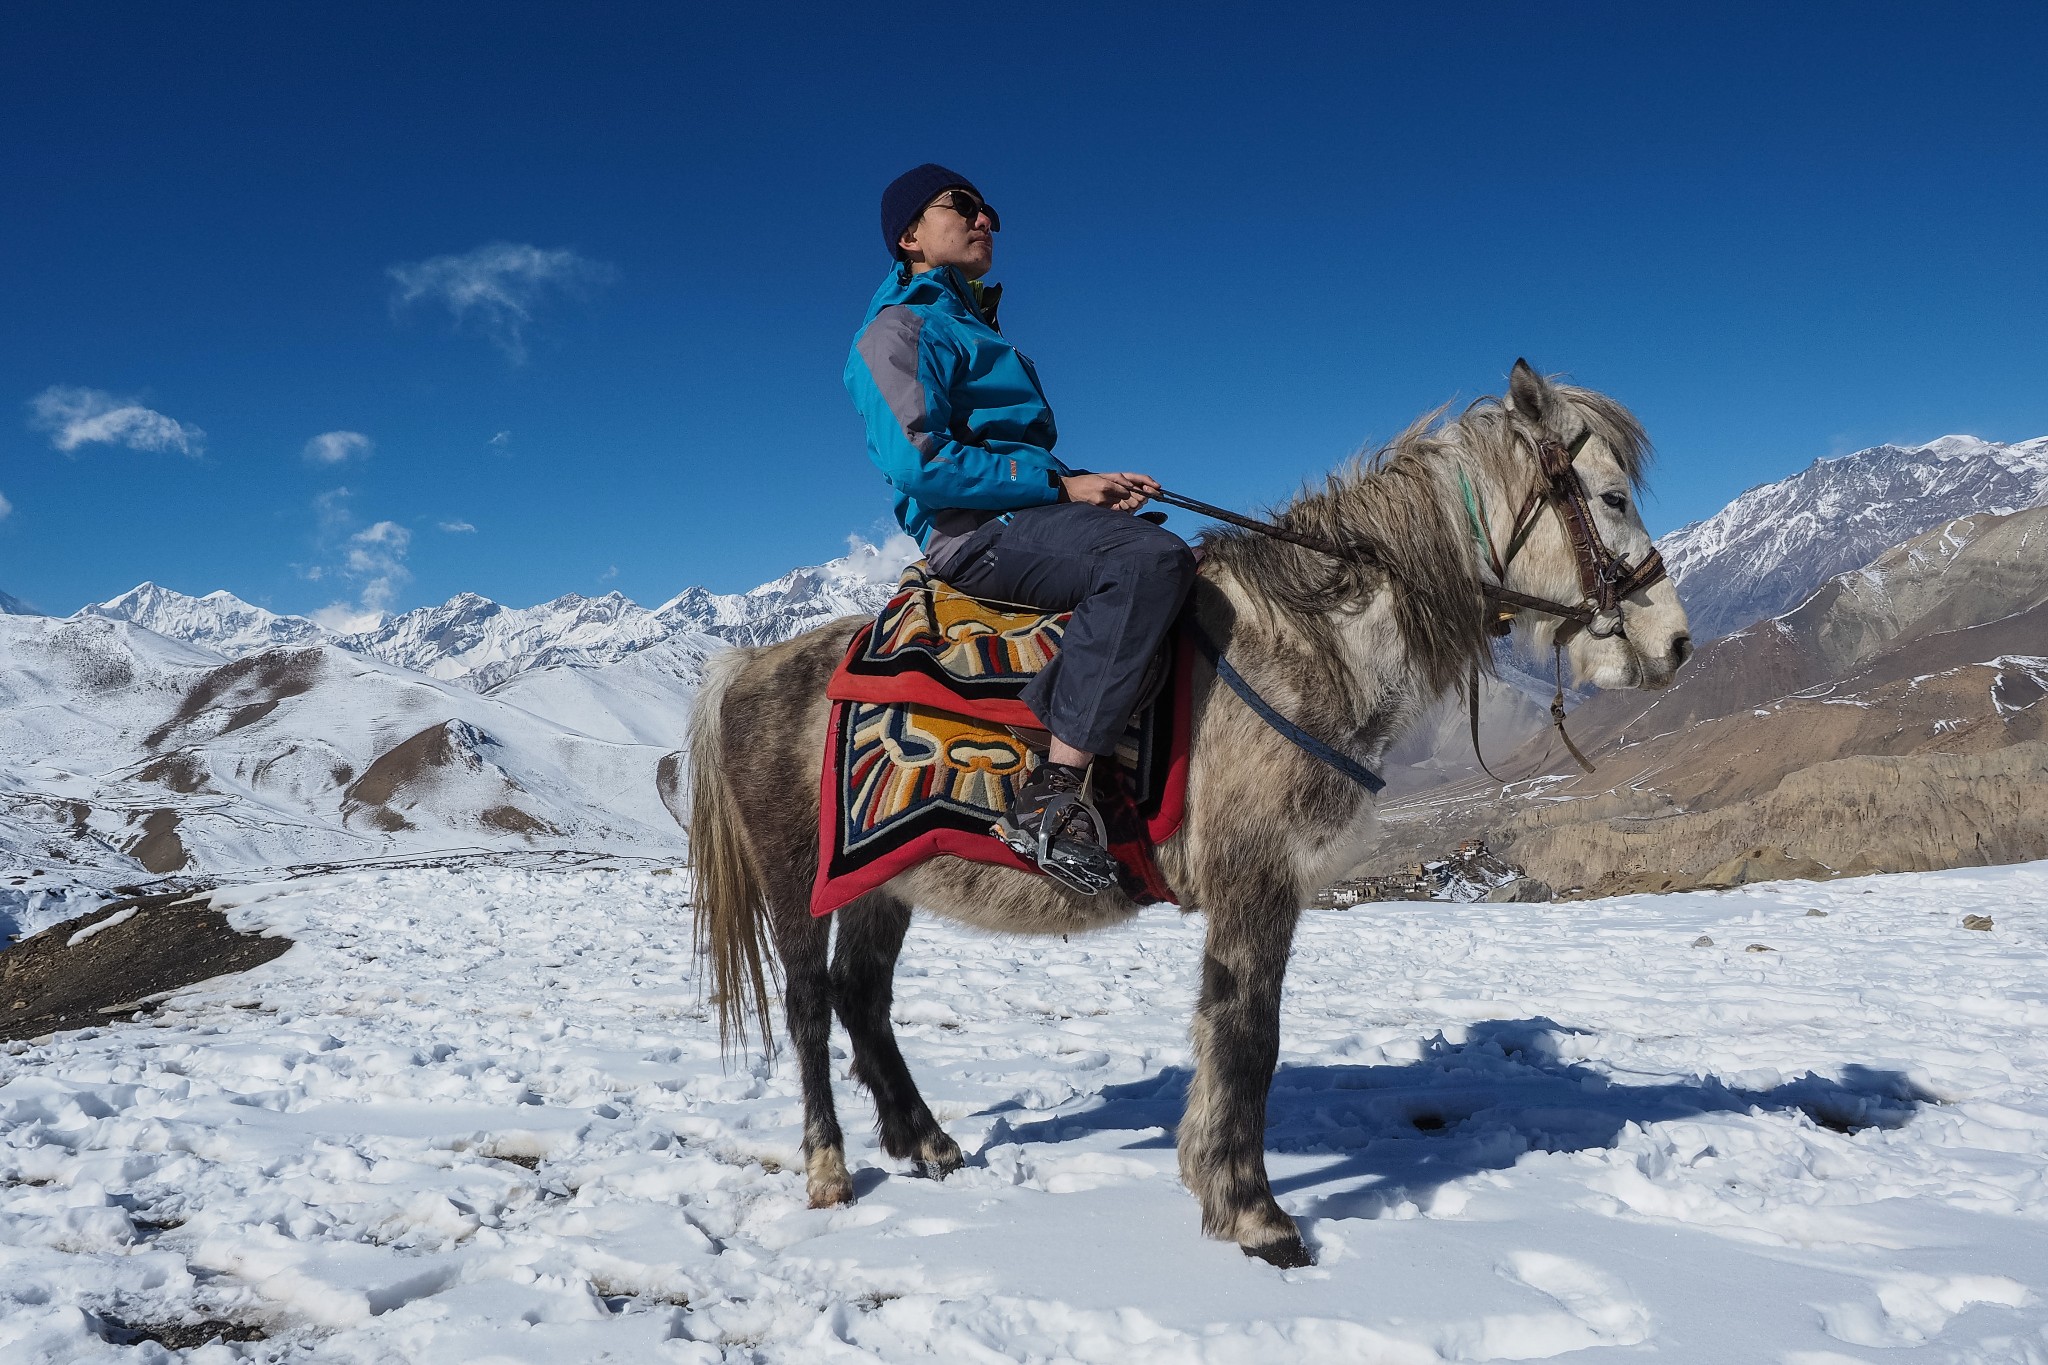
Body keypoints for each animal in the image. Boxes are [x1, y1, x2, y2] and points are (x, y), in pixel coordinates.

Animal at [679, 362, 1687, 1268]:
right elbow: (1248, 1034)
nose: (1674, 642)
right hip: (796, 879)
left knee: (864, 995)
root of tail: (746, 669)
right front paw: (1256, 1214)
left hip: (883, 878)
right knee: (811, 1005)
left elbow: (1220, 1026)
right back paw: (830, 1169)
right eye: (1609, 495)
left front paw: (1215, 1182)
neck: (1310, 640)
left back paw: (926, 1141)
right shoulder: (1258, 877)